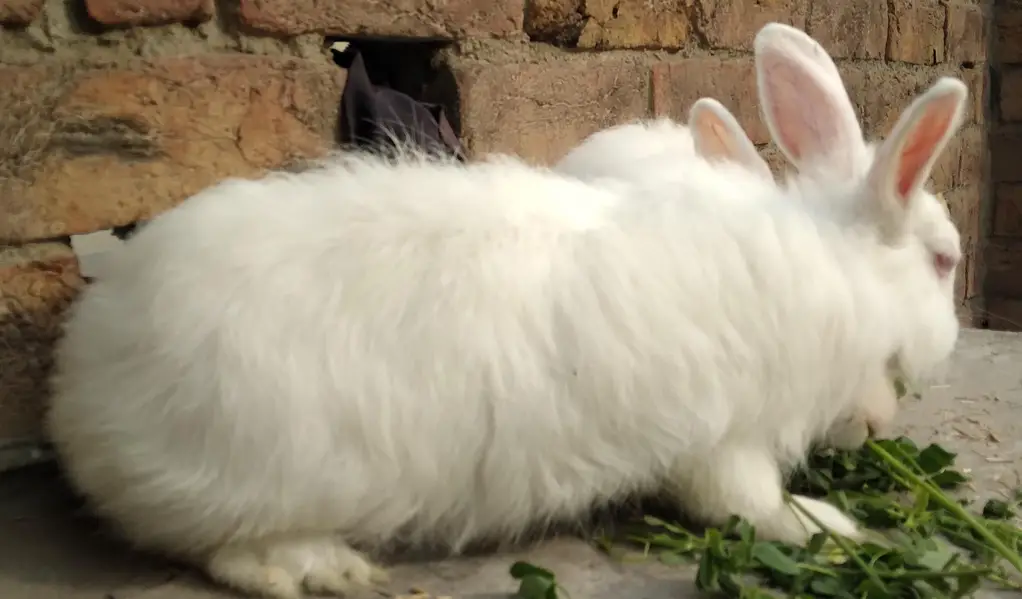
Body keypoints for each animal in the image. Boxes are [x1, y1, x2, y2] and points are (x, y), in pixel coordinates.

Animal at [46, 27, 968, 599]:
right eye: (944, 261)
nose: (883, 422)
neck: (837, 270)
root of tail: (78, 394)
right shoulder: (727, 435)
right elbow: (749, 503)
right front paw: (834, 525)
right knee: (225, 548)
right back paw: (318, 567)